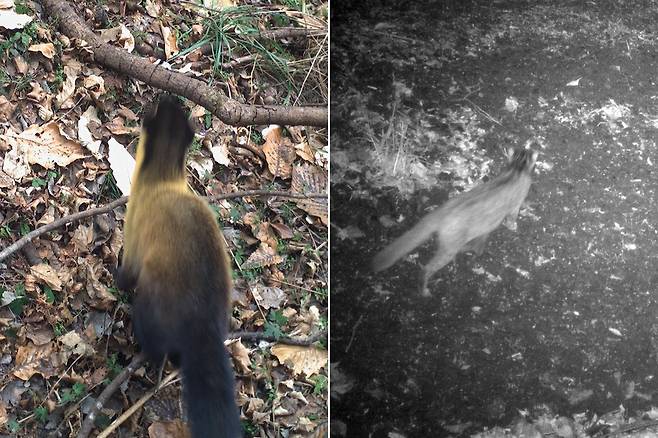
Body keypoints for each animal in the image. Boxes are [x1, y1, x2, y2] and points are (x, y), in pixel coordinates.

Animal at [372, 148, 536, 298]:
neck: (517, 168)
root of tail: (443, 211)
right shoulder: (515, 206)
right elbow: (512, 218)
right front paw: (513, 226)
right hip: (449, 250)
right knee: (427, 268)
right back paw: (424, 290)